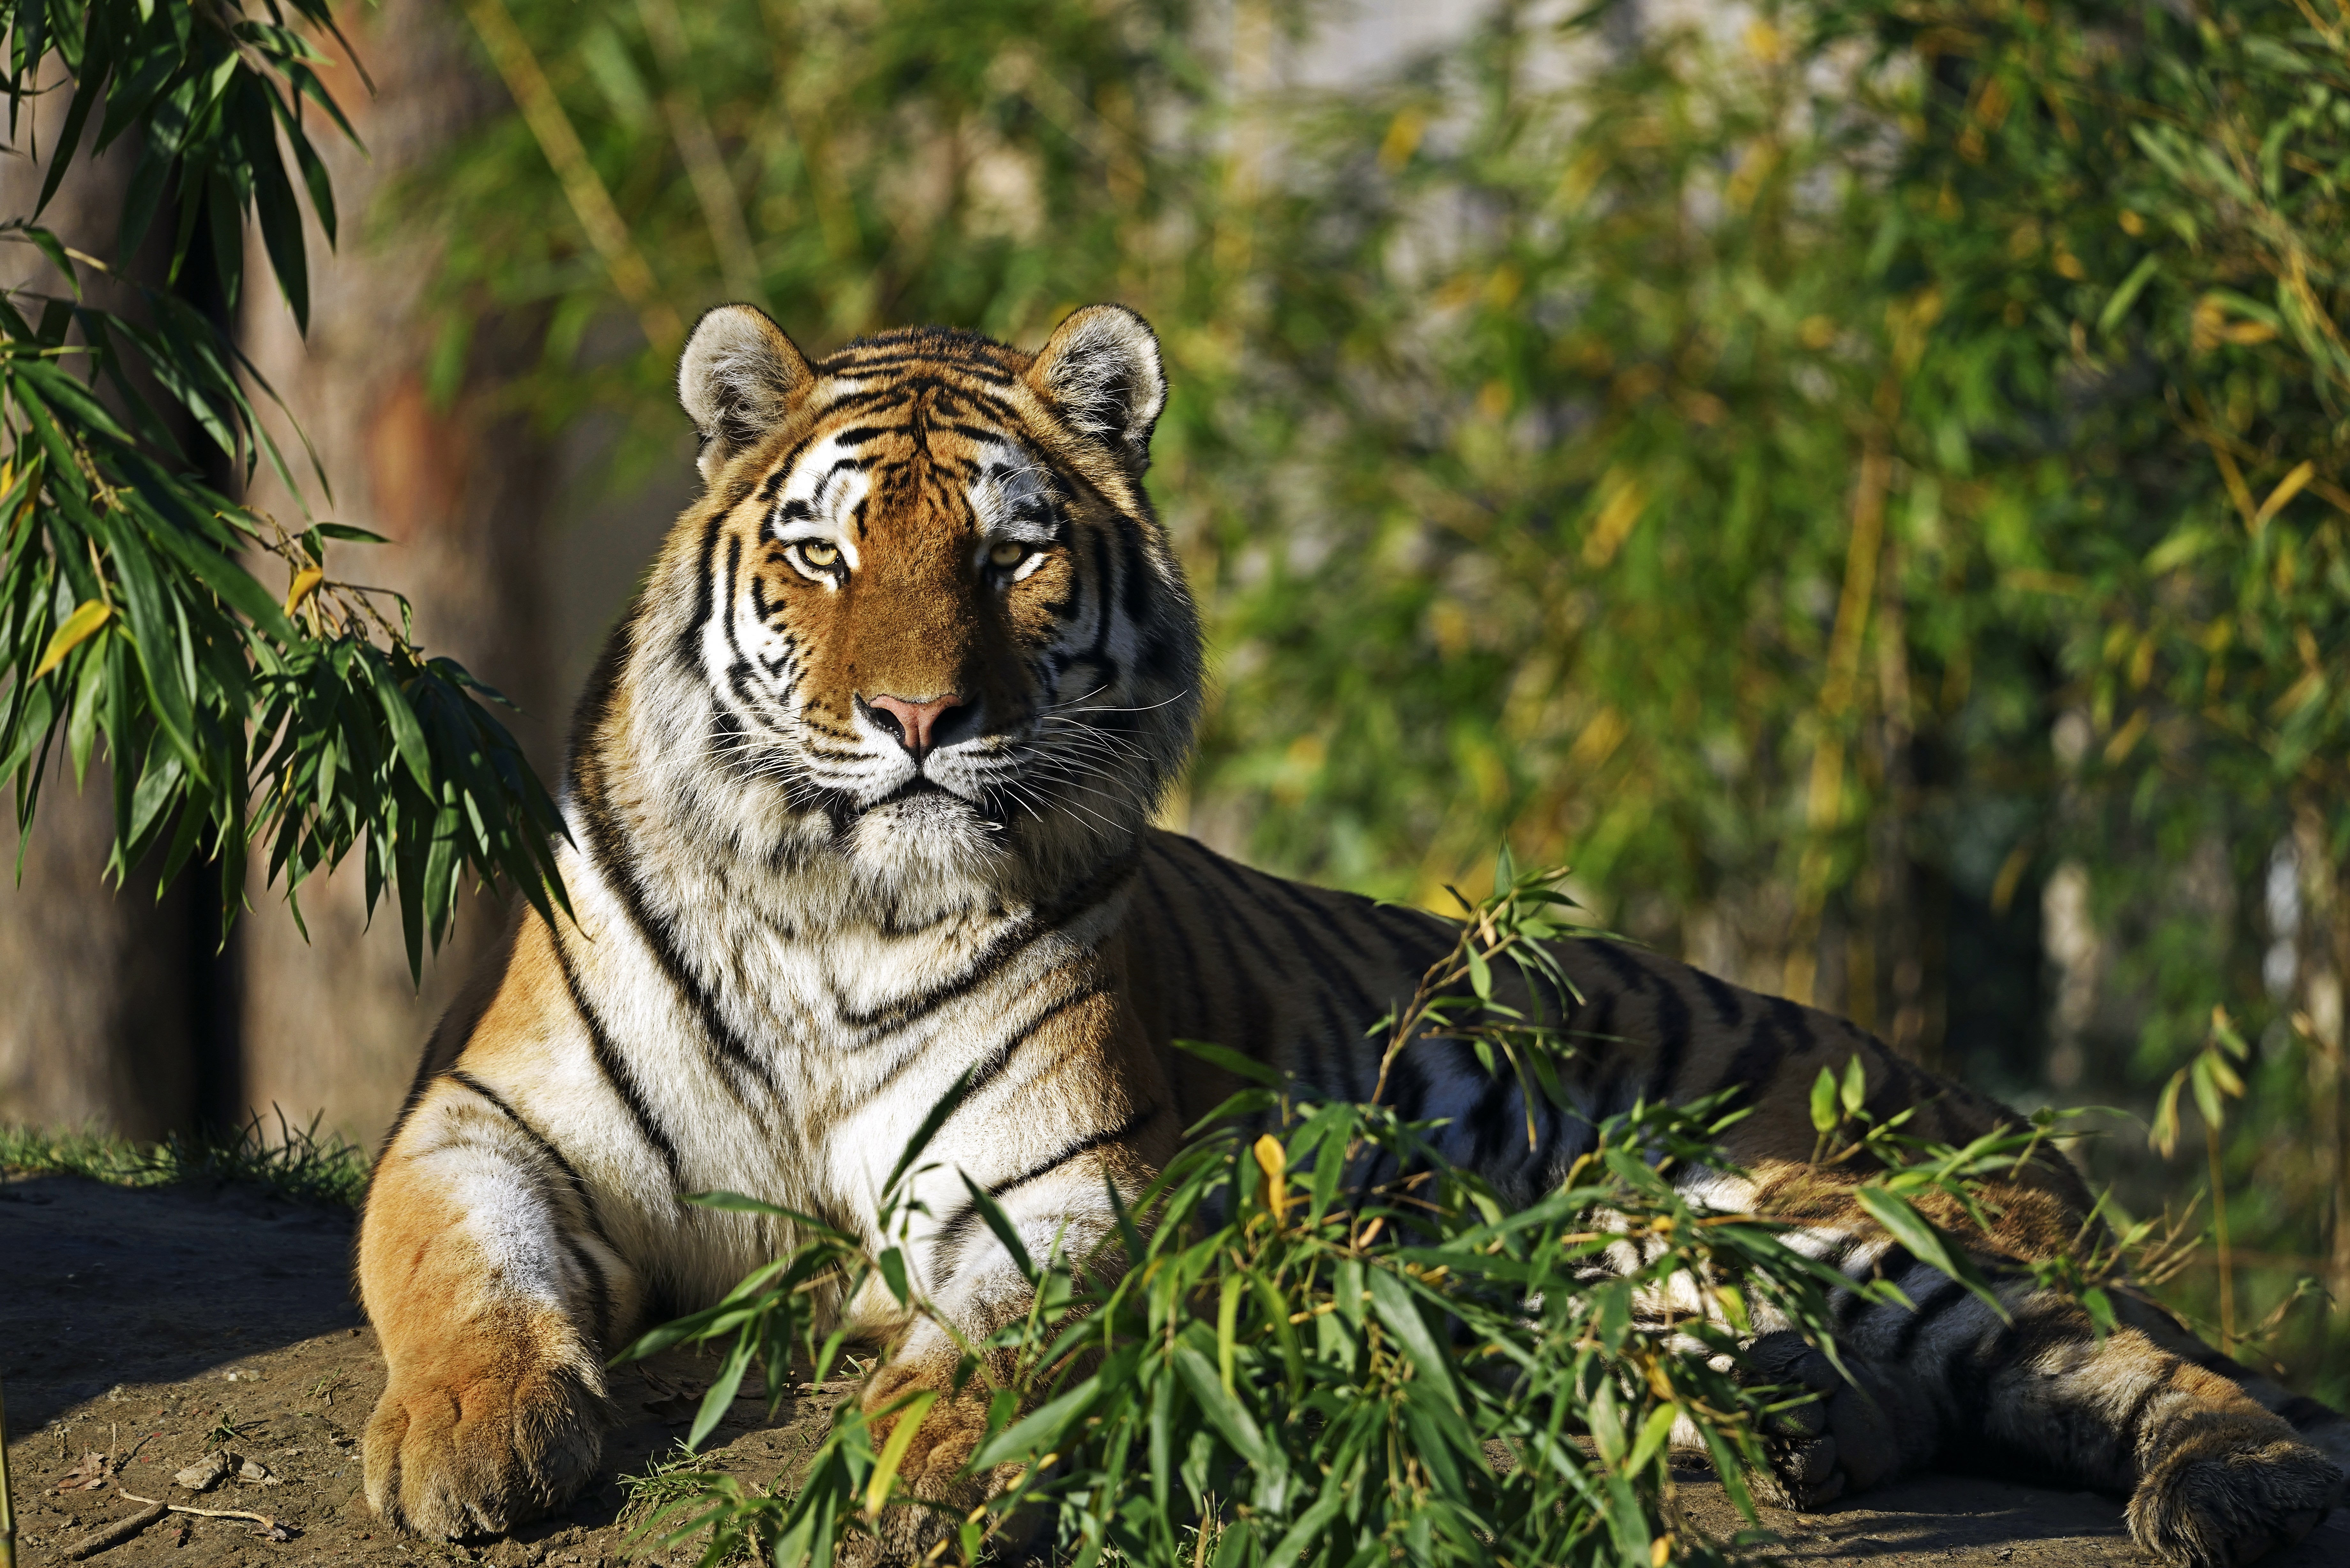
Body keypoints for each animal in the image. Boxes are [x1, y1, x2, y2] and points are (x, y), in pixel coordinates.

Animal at [358, 302, 2347, 1567]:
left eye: (1007, 556)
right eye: (827, 556)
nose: (917, 719)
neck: (839, 900)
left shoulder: (1059, 1187)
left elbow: (989, 1351)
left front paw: (911, 1473)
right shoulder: (485, 1113)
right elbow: (457, 1272)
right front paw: (467, 1440)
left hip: (1839, 1217)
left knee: (2135, 1367)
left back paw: (2235, 1493)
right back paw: (1793, 1433)